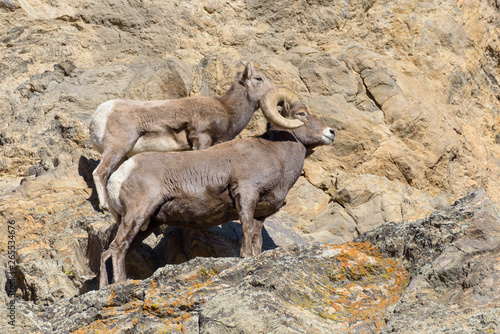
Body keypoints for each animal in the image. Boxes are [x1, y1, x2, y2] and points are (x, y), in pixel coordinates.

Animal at [88, 62, 272, 209]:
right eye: (259, 78)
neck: (228, 109)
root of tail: (100, 114)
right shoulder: (201, 139)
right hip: (117, 149)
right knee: (100, 172)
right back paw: (104, 206)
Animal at [99, 86, 336, 288]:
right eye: (301, 114)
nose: (331, 132)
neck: (276, 155)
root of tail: (119, 175)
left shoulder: (261, 215)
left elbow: (257, 239)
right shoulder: (246, 194)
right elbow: (246, 229)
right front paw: (245, 257)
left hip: (146, 223)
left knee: (109, 252)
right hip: (137, 214)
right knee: (117, 248)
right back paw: (121, 283)